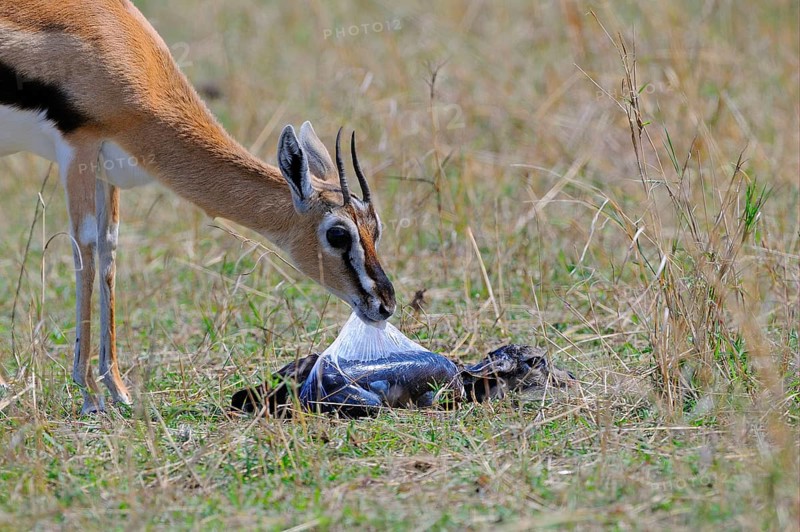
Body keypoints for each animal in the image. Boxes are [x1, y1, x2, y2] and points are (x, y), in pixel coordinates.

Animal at [0, 0, 396, 414]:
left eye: (376, 228)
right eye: (337, 234)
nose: (384, 304)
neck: (119, 45)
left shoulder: (106, 170)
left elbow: (108, 252)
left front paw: (118, 390)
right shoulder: (78, 151)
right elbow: (86, 252)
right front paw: (90, 395)